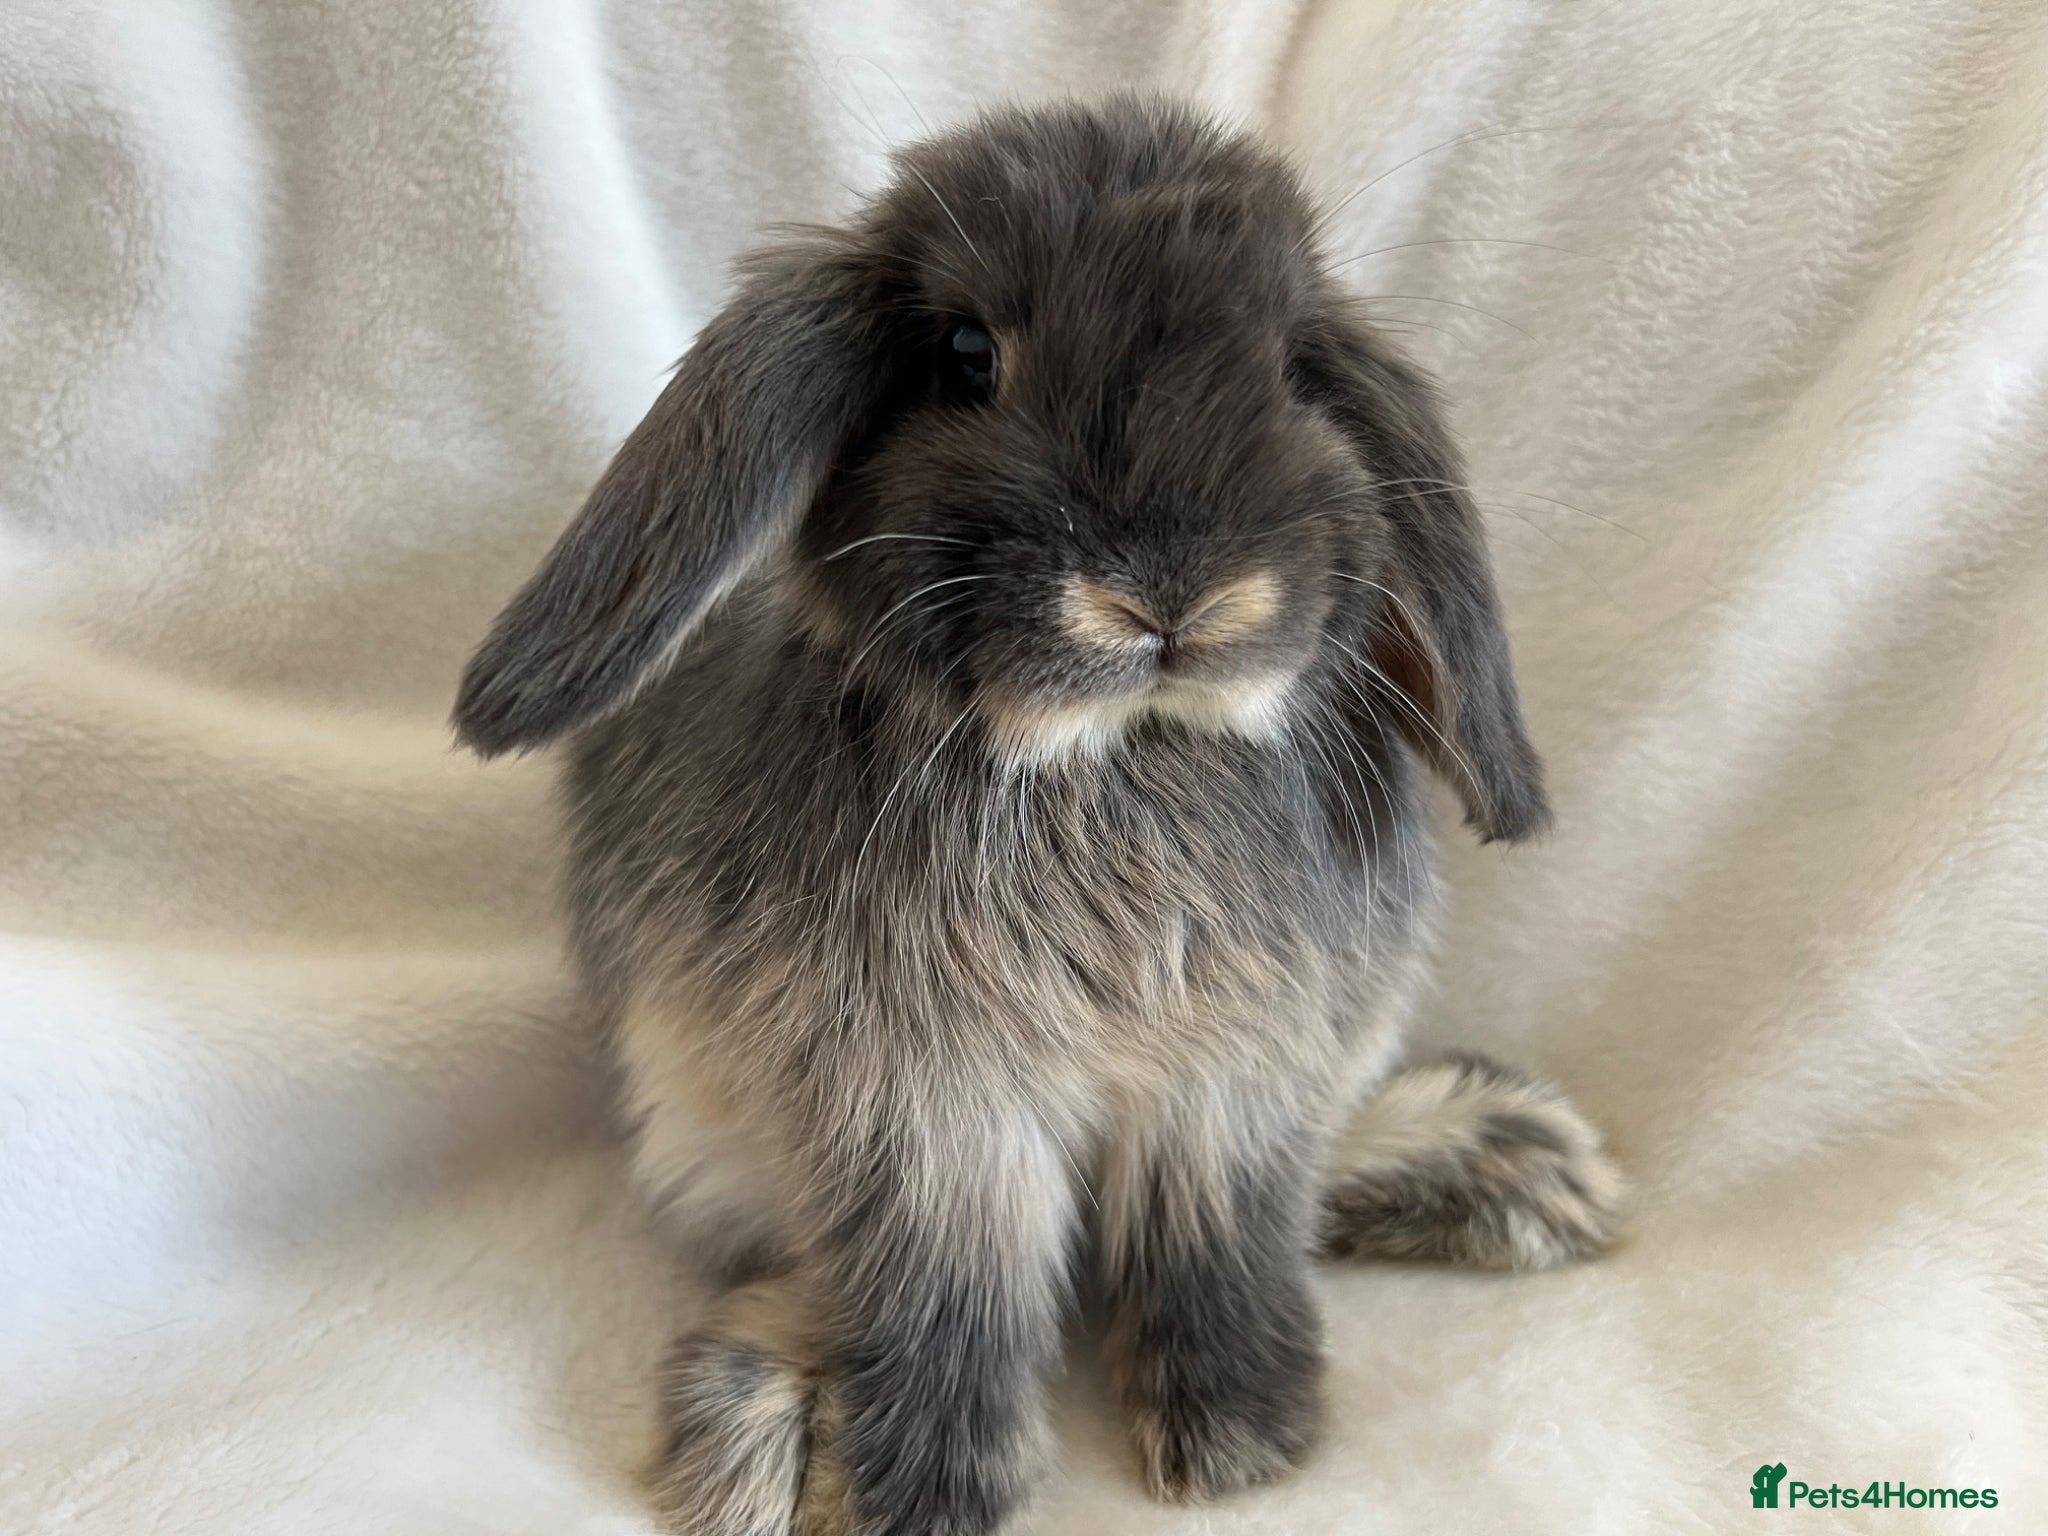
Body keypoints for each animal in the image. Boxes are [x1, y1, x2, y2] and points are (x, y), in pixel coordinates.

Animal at [454, 93, 1624, 1536]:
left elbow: (1220, 1240)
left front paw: (1240, 1442)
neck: (1113, 755)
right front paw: (919, 1490)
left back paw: (1506, 1158)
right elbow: (947, 1288)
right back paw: (764, 1424)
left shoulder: (1229, 1087)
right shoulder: (927, 1113)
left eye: (1296, 367)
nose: (1176, 595)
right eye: (966, 356)